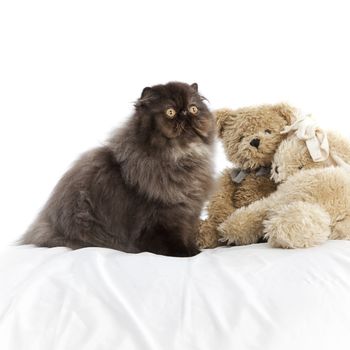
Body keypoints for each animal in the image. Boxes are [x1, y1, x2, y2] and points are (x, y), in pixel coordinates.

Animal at [21, 82, 216, 258]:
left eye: (193, 109)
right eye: (170, 112)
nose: (185, 114)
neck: (180, 159)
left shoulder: (189, 212)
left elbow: (188, 233)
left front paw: (194, 248)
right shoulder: (161, 218)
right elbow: (170, 239)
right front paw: (187, 253)